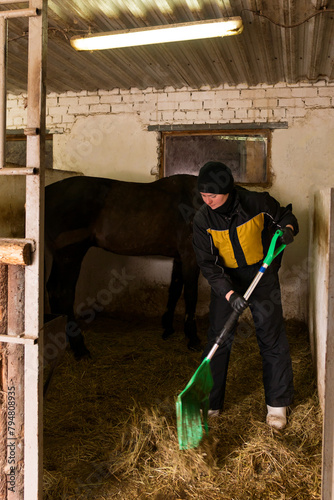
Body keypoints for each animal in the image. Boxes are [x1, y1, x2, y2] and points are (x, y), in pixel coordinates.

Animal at [44, 174, 204, 358]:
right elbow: (191, 295)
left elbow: (175, 291)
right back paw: (80, 348)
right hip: (70, 255)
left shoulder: (179, 258)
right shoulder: (190, 256)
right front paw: (193, 338)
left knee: (53, 289)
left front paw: (168, 328)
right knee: (63, 293)